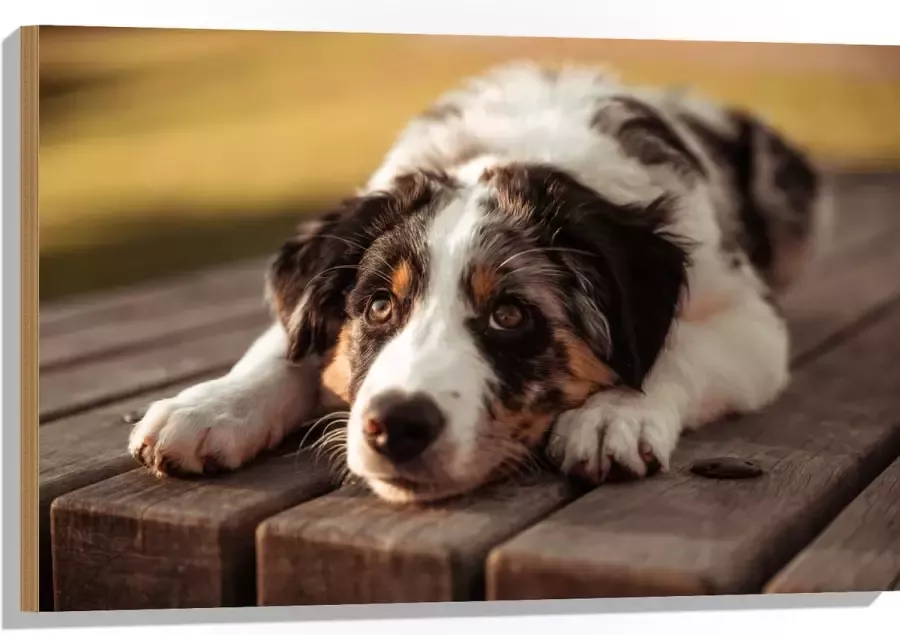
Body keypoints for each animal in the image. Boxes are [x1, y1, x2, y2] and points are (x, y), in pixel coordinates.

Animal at [125, 62, 828, 504]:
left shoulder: (750, 321)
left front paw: (614, 416)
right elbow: (284, 343)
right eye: (378, 306)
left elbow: (675, 349)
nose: (395, 427)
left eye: (510, 315)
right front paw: (209, 408)